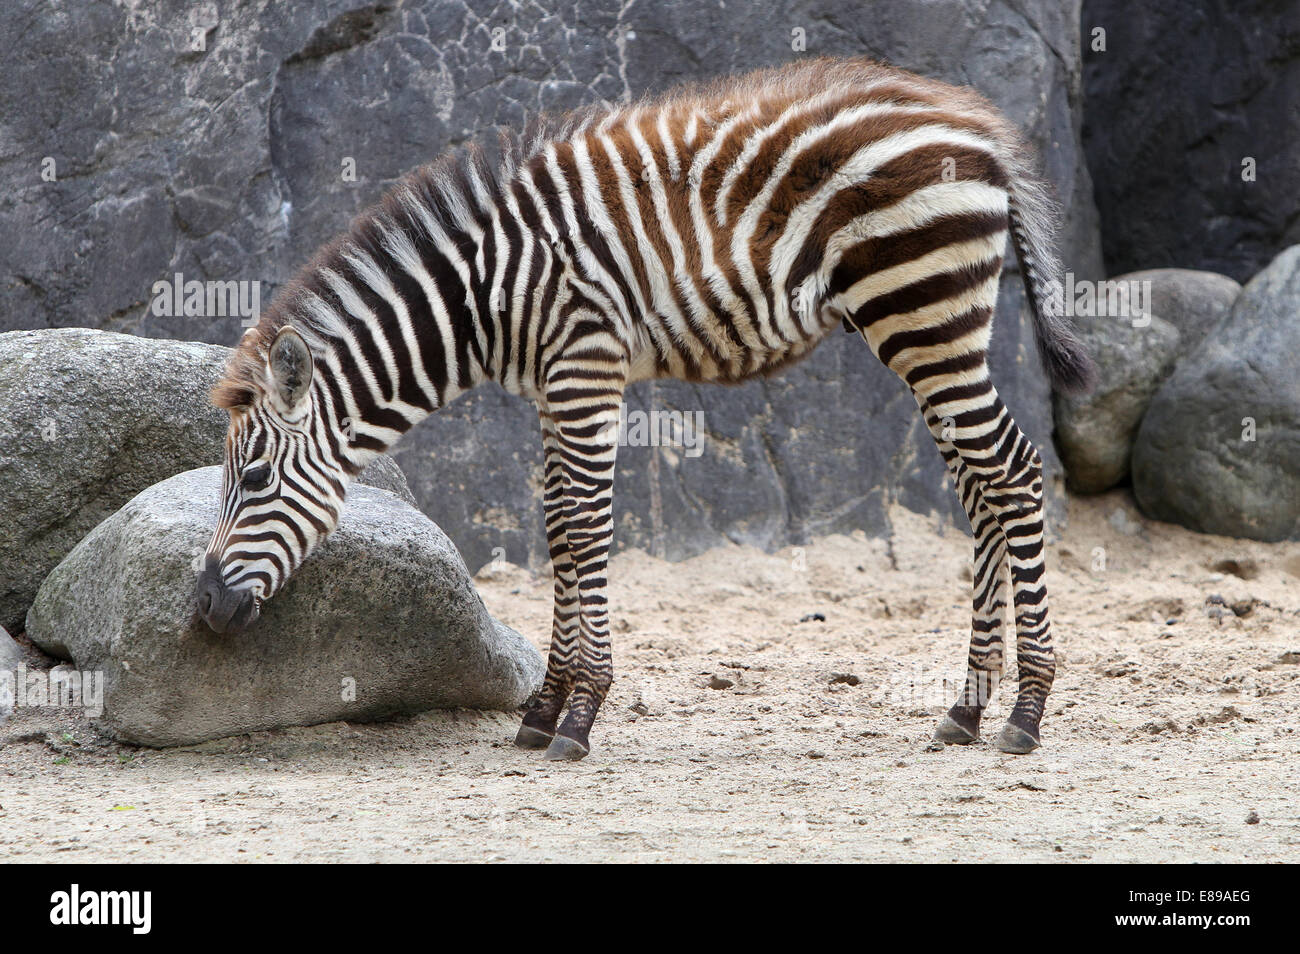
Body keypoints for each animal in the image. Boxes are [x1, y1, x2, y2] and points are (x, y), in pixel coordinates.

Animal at [197, 57, 1092, 764]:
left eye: (258, 478)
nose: (202, 609)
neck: (486, 294)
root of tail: (979, 127)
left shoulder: (586, 367)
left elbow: (586, 529)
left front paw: (581, 714)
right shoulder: (550, 386)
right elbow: (559, 530)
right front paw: (544, 709)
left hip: (921, 310)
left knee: (1014, 469)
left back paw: (1026, 711)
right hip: (930, 326)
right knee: (979, 483)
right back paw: (966, 708)